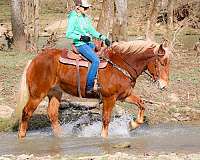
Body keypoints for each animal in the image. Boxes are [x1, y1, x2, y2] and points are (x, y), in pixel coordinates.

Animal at [16, 40, 170, 139]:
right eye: (162, 63)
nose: (164, 85)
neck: (120, 65)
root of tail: (34, 60)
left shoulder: (124, 95)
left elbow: (141, 104)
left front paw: (132, 124)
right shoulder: (109, 98)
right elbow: (106, 119)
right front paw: (104, 137)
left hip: (55, 93)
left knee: (52, 114)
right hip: (37, 94)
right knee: (26, 112)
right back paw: (21, 136)